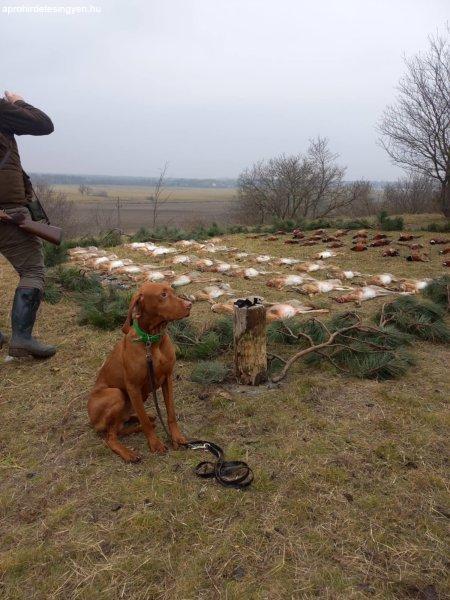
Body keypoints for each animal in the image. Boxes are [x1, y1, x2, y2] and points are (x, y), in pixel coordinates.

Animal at [88, 282, 192, 464]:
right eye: (163, 295)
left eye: (172, 291)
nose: (189, 305)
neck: (151, 340)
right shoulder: (133, 387)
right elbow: (145, 423)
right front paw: (155, 444)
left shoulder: (167, 379)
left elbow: (171, 413)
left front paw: (177, 438)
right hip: (116, 394)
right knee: (111, 436)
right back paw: (128, 453)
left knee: (121, 426)